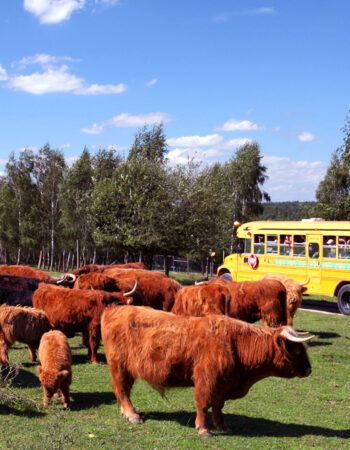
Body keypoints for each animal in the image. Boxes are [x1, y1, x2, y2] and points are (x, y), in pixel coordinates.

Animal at [100, 304, 314, 438]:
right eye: (296, 350)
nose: (309, 369)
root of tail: (115, 308)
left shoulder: (223, 383)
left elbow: (218, 406)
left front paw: (222, 426)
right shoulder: (206, 379)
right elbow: (203, 404)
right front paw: (204, 429)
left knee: (122, 391)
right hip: (119, 367)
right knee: (122, 390)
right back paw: (132, 415)